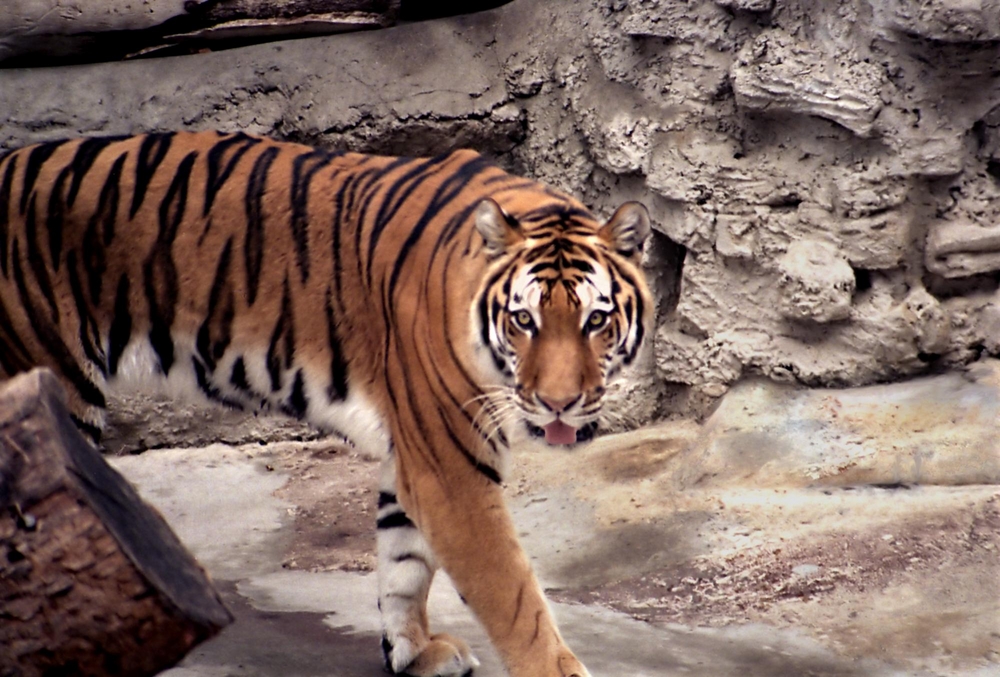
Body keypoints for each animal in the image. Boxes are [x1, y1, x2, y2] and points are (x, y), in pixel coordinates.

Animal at [0, 131, 656, 676]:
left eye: (596, 321)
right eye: (524, 321)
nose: (558, 404)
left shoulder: (417, 455)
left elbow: (403, 563)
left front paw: (412, 651)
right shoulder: (451, 468)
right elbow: (513, 594)